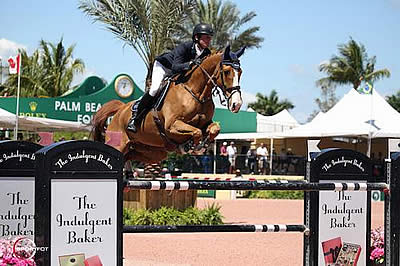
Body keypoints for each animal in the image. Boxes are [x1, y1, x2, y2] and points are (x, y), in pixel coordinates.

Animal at [92, 45, 245, 162]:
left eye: (240, 72)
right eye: (227, 72)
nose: (236, 104)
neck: (195, 93)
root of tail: (120, 110)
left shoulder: (206, 123)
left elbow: (214, 129)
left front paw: (202, 145)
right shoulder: (172, 125)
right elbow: (196, 132)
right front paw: (191, 147)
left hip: (151, 152)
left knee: (128, 157)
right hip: (117, 144)